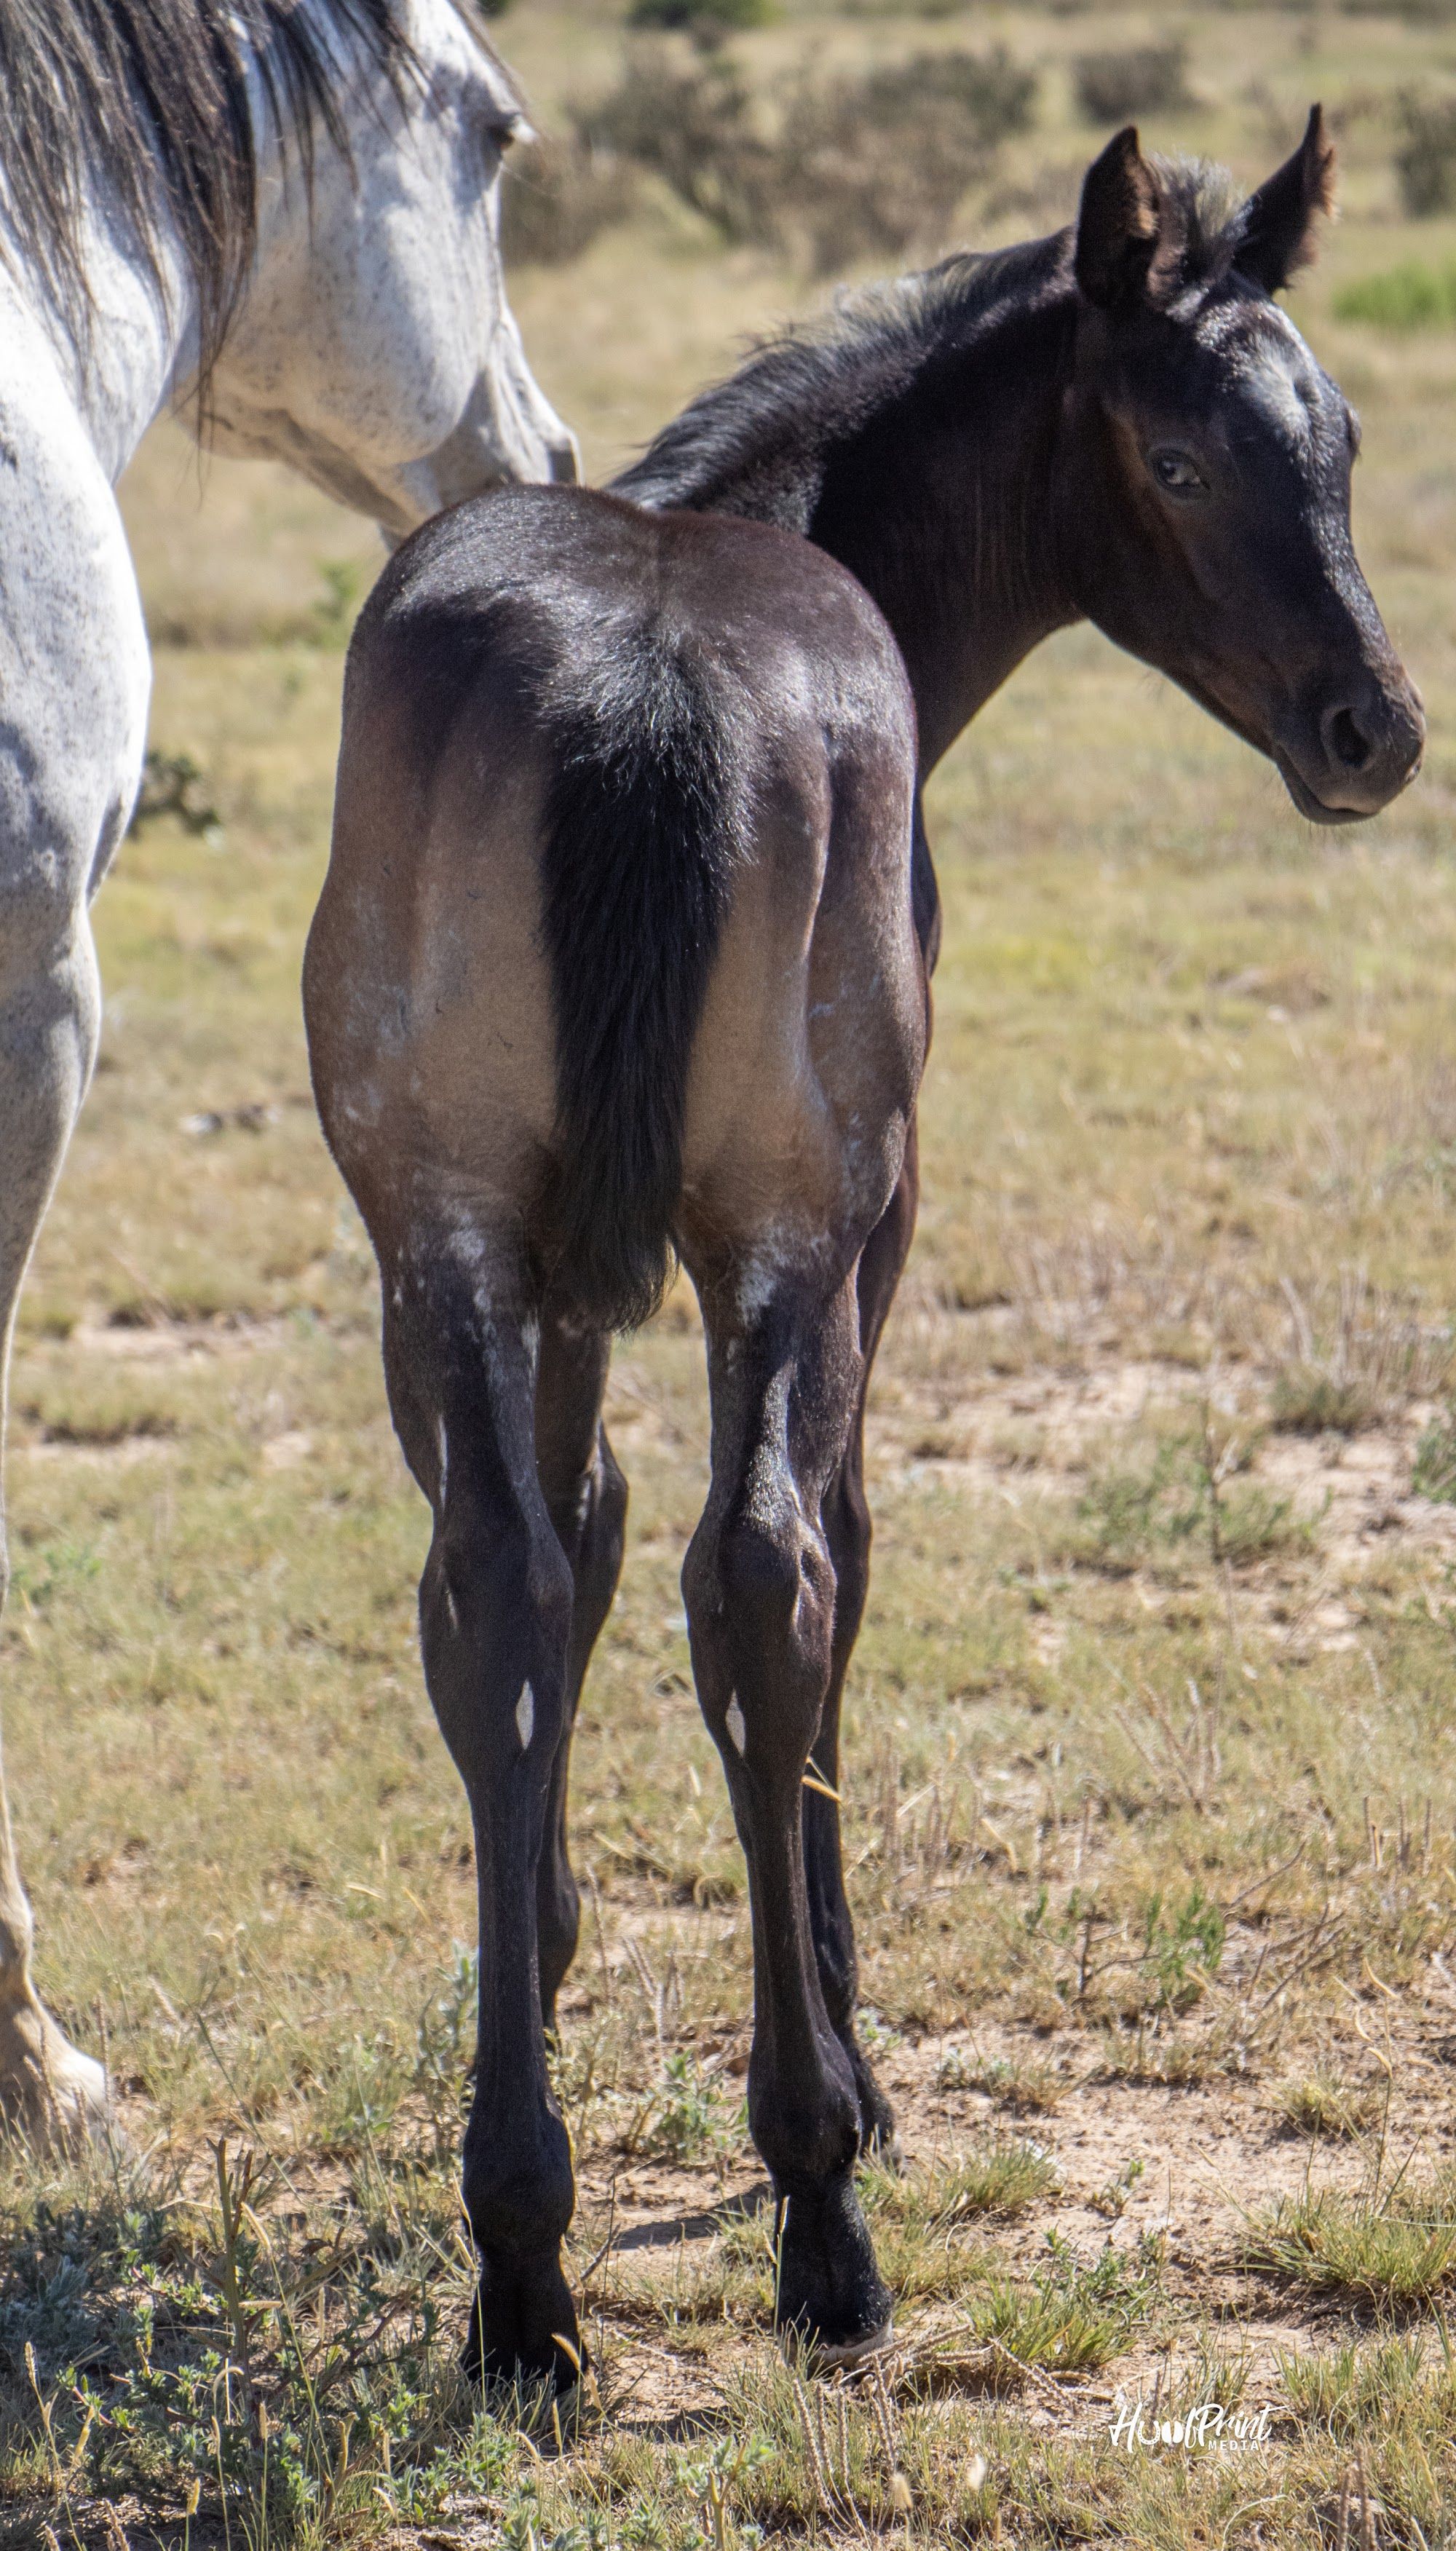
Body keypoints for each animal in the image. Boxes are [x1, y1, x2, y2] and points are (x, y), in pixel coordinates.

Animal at [303, 112, 1422, 2387]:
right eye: (1180, 460)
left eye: (1340, 439)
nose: (1374, 729)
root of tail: (642, 671)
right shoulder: (876, 1223)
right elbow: (830, 1550)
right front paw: (844, 2056)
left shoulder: (535, 1272)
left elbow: (574, 1541)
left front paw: (544, 1938)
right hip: (793, 1233)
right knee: (771, 1573)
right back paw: (820, 2205)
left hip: (437, 1238)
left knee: (496, 1585)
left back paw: (522, 2261)